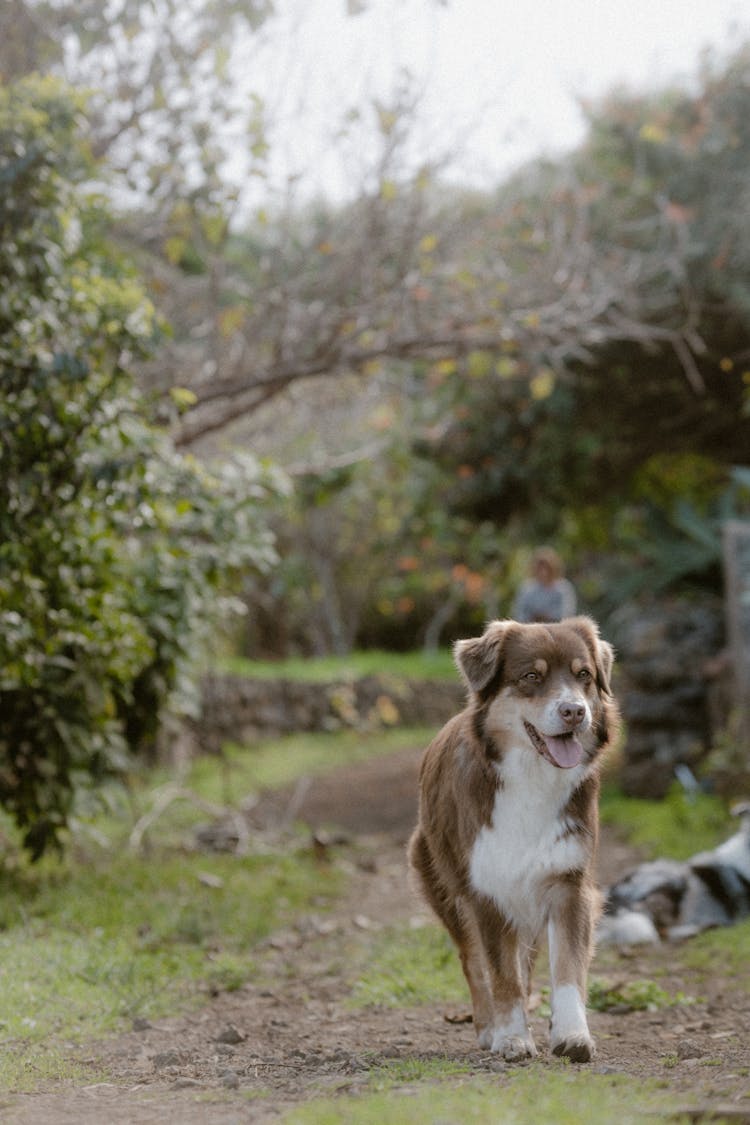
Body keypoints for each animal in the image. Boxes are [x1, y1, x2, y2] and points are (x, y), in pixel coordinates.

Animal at [407, 616, 620, 1062]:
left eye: (584, 676)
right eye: (531, 677)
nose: (575, 711)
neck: (531, 778)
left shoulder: (568, 885)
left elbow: (567, 969)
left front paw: (572, 1034)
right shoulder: (487, 890)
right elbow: (501, 973)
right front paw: (511, 1037)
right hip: (445, 886)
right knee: (473, 961)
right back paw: (489, 1028)